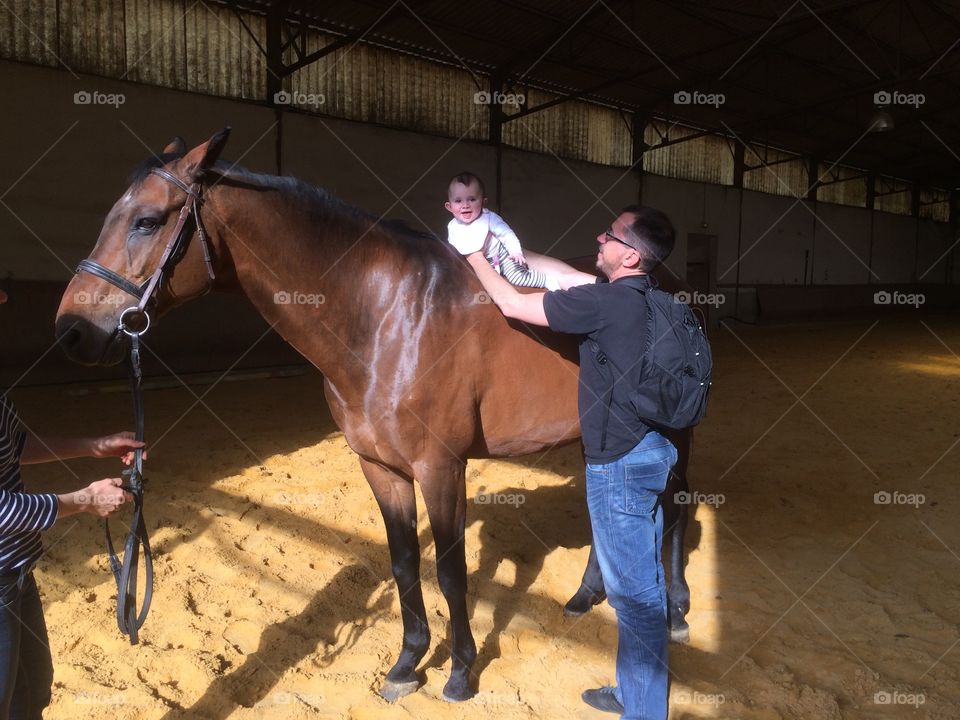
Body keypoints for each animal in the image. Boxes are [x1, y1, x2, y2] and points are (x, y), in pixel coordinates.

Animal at [54, 129, 695, 702]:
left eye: (147, 221)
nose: (71, 331)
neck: (388, 315)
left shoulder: (441, 468)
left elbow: (451, 572)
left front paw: (460, 672)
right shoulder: (380, 468)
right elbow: (404, 562)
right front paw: (409, 663)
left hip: (677, 433)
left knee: (676, 508)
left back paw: (677, 611)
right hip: (595, 432)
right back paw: (587, 597)